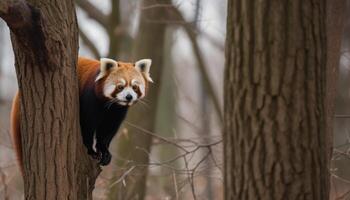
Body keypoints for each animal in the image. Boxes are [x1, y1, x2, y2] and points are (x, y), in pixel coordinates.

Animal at [10, 56, 152, 172]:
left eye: (134, 87)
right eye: (120, 87)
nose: (128, 97)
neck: (109, 105)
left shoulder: (116, 112)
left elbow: (107, 131)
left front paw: (105, 152)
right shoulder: (90, 98)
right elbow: (86, 125)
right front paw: (91, 151)